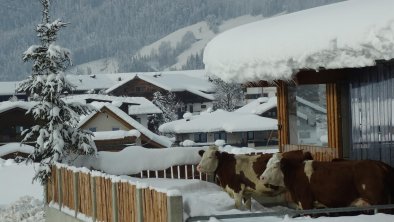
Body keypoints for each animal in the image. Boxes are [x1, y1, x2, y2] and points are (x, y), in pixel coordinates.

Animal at [258, 153, 394, 210]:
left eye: (275, 166)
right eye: (267, 165)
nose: (262, 177)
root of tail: (379, 164)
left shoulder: (306, 202)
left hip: (379, 201)